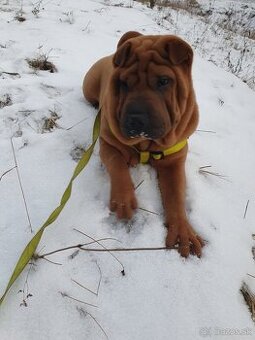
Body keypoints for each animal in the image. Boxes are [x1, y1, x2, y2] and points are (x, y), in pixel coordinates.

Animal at [82, 31, 204, 258]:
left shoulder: (174, 161)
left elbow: (176, 195)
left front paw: (183, 232)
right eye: (123, 83)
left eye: (164, 81)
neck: (147, 145)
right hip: (89, 85)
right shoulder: (108, 143)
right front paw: (123, 201)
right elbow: (117, 164)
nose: (136, 119)